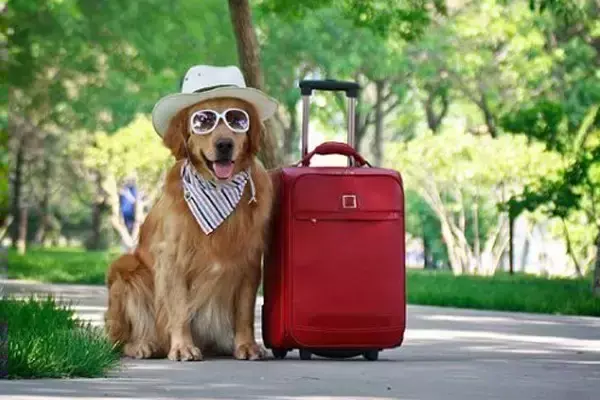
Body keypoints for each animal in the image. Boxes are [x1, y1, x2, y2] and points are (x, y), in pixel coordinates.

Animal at [103, 64, 278, 360]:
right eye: (203, 121)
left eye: (237, 119)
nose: (224, 144)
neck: (218, 188)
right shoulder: (173, 260)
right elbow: (179, 308)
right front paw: (183, 347)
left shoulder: (249, 261)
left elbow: (244, 312)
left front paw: (246, 345)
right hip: (126, 268)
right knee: (119, 340)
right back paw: (142, 345)